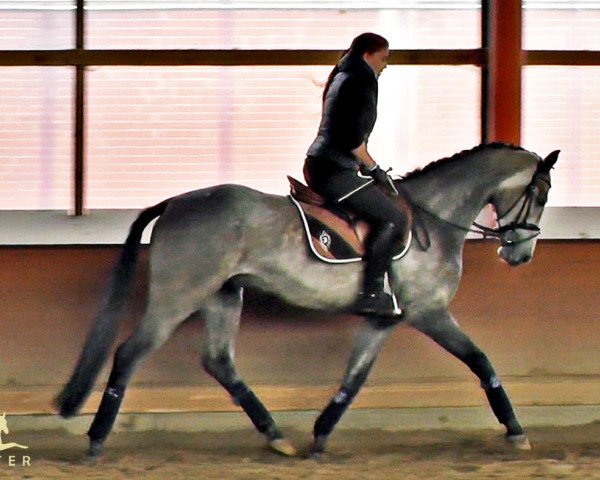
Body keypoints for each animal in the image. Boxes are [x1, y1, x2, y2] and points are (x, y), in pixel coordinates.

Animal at [54, 142, 560, 462]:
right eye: (540, 193)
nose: (520, 254)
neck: (434, 222)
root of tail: (175, 203)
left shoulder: (383, 320)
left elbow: (354, 379)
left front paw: (320, 436)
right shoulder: (428, 313)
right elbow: (481, 361)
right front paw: (516, 432)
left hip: (224, 294)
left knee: (219, 362)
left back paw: (277, 437)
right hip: (179, 295)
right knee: (128, 354)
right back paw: (96, 441)